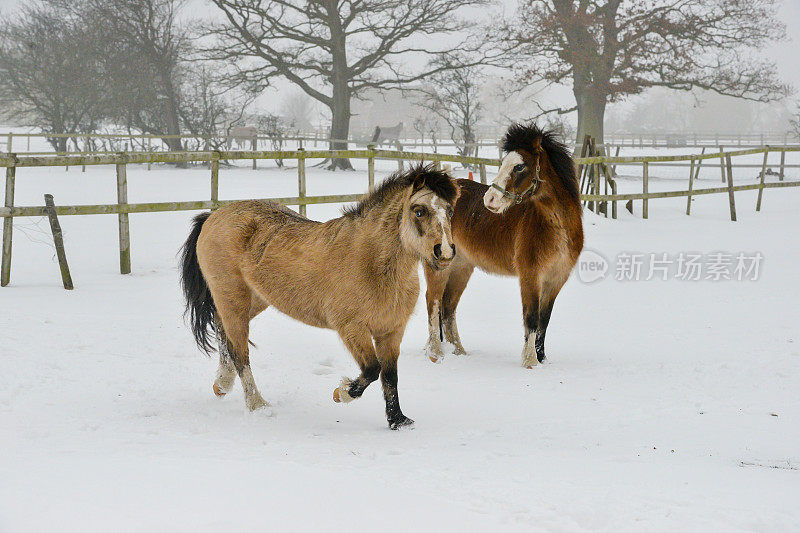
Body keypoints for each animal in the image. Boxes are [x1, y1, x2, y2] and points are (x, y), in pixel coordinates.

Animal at [424, 123, 580, 368]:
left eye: (519, 166)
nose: (490, 200)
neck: (556, 226)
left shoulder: (556, 279)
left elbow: (544, 321)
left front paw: (542, 360)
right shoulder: (530, 276)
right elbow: (531, 319)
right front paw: (530, 362)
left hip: (461, 267)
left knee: (448, 308)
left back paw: (459, 352)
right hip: (439, 265)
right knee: (433, 302)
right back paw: (436, 354)